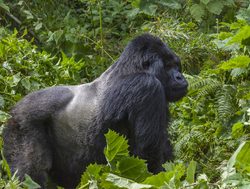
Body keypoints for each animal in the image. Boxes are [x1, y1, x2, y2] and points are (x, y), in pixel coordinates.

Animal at [2, 33, 188, 188]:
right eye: (168, 66)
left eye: (177, 66)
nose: (180, 77)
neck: (133, 68)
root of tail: (15, 108)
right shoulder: (148, 88)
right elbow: (148, 154)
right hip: (23, 124)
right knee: (30, 173)